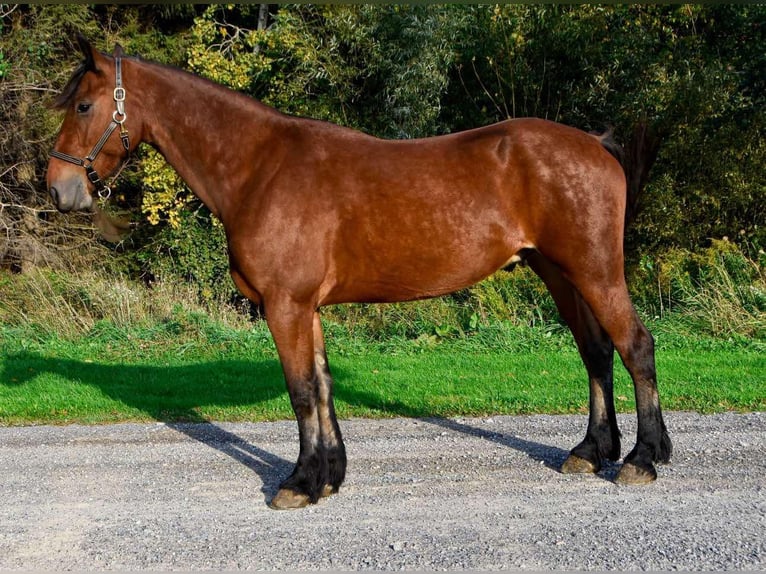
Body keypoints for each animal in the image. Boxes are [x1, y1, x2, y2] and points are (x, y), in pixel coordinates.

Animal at [47, 37, 672, 509]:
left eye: (83, 107)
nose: (59, 189)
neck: (259, 168)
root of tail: (595, 144)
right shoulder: (306, 308)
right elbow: (322, 386)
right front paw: (329, 475)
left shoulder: (285, 305)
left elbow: (300, 390)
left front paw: (298, 484)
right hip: (560, 273)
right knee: (596, 351)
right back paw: (590, 452)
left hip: (595, 272)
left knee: (634, 346)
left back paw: (643, 458)